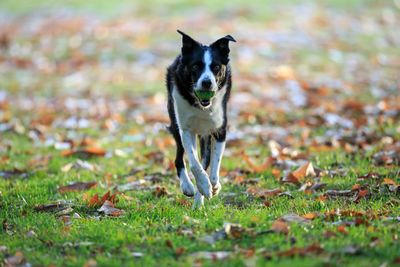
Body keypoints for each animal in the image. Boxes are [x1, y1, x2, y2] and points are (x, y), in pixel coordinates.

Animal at [167, 30, 236, 208]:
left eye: (216, 67)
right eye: (196, 66)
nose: (206, 82)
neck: (201, 106)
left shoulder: (220, 129)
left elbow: (213, 164)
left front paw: (213, 186)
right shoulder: (185, 129)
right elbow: (194, 163)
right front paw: (203, 185)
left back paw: (199, 203)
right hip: (174, 122)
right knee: (179, 158)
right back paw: (188, 187)